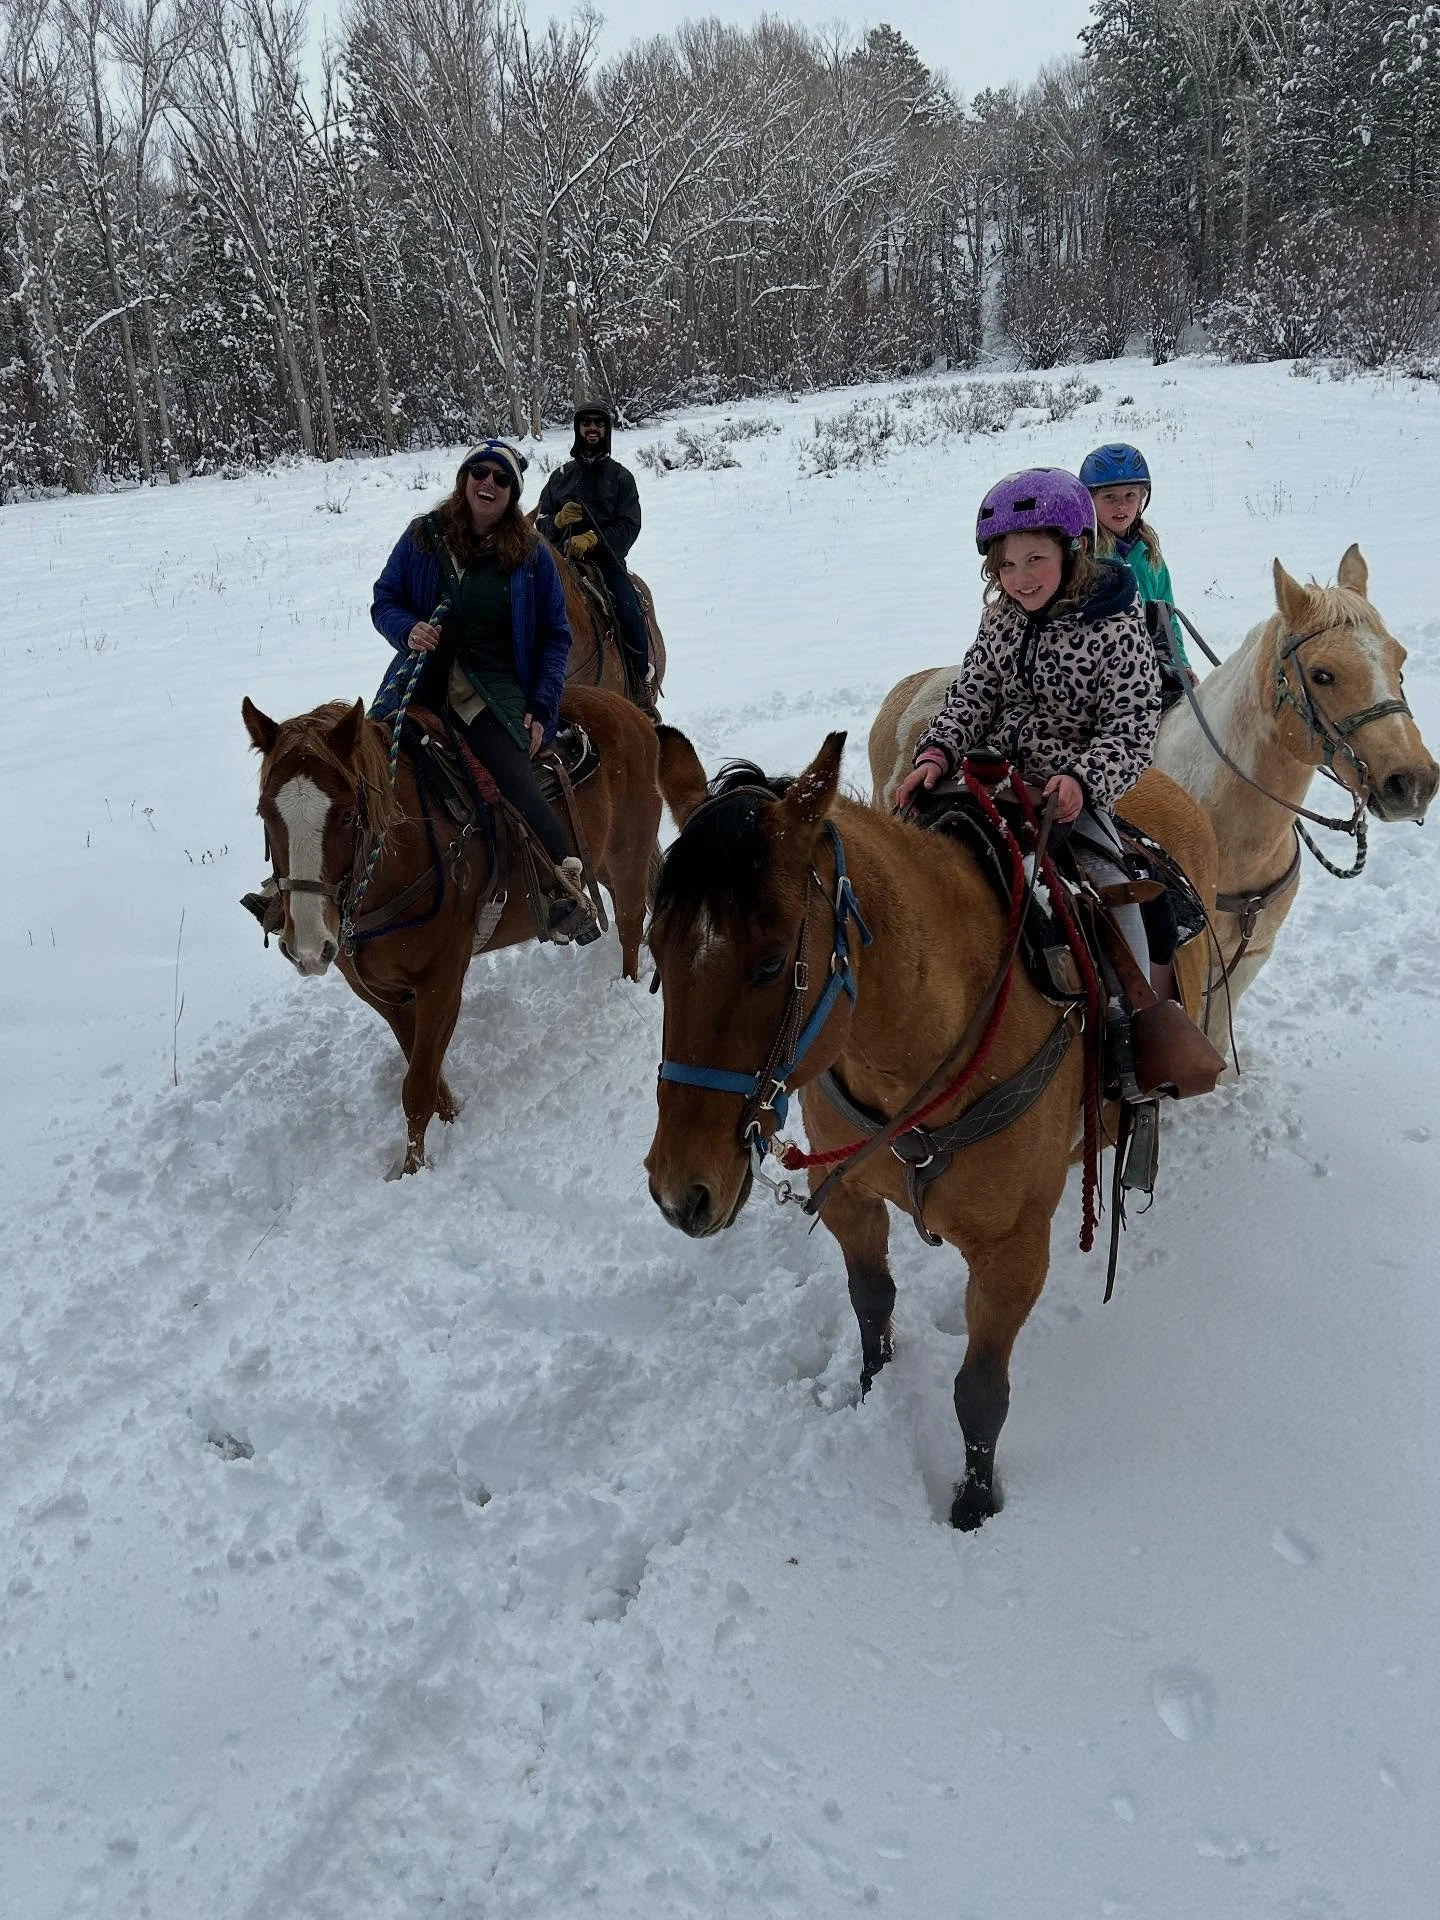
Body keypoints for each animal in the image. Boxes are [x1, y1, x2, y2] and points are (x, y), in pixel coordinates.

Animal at [241, 685, 662, 1176]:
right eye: (266, 814)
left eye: (346, 816)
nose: (308, 948)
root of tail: (628, 710)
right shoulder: (383, 994)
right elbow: (426, 1074)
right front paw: (450, 1120)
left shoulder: (440, 982)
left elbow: (418, 1087)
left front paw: (411, 1170)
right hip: (606, 864)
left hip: (628, 855)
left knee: (631, 923)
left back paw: (628, 983)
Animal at [644, 725, 1217, 1529]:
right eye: (655, 951)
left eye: (769, 962)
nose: (680, 1191)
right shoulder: (849, 1198)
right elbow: (872, 1305)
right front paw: (871, 1391)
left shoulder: (1013, 1255)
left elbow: (979, 1392)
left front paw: (974, 1503)